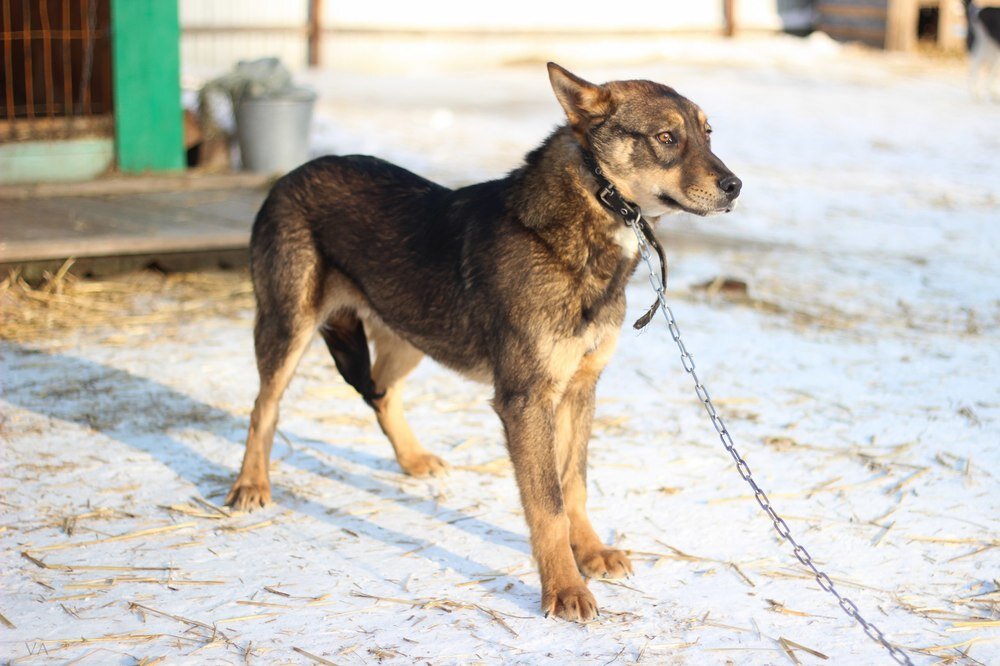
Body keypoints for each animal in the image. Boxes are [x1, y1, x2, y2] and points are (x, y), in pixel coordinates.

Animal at [227, 62, 744, 616]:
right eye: (667, 137)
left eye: (708, 134)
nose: (736, 185)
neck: (580, 225)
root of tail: (291, 175)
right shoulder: (526, 401)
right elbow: (548, 504)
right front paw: (565, 588)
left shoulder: (579, 390)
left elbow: (574, 486)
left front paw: (589, 553)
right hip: (289, 328)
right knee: (264, 406)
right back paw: (251, 484)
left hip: (412, 330)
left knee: (381, 393)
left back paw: (412, 459)